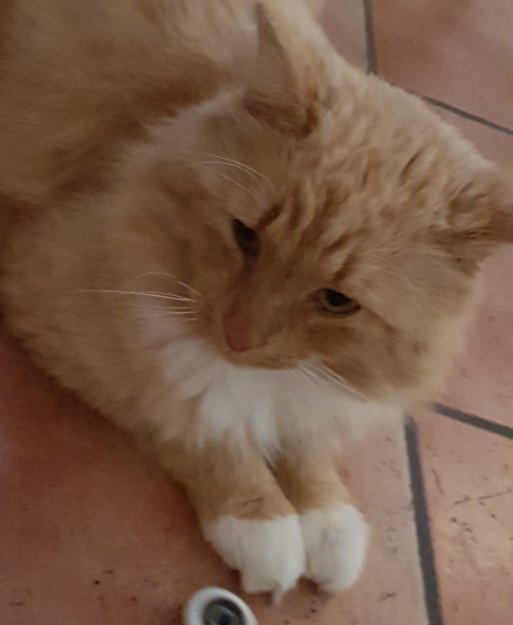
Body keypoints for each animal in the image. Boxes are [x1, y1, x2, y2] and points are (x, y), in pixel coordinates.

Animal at [0, 0, 511, 598]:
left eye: (336, 301)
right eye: (246, 237)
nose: (236, 339)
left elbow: (309, 444)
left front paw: (327, 515)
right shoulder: (61, 299)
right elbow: (195, 420)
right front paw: (261, 520)